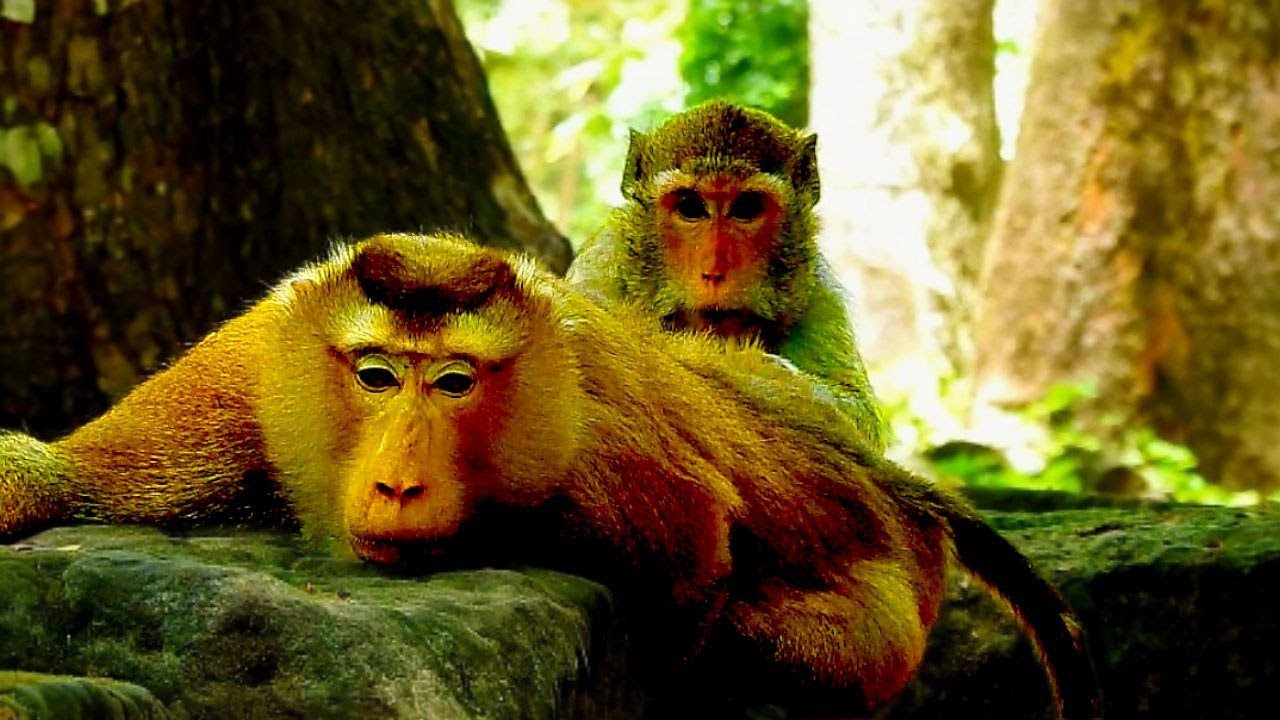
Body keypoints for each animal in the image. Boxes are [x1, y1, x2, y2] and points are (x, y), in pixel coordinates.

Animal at [0, 233, 1100, 718]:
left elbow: (698, 565)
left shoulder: (596, 459)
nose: (398, 484)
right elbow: (73, 476)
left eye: (454, 382)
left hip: (882, 613)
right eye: (374, 374)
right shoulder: (251, 374)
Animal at [568, 100, 886, 453]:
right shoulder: (603, 256)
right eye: (690, 207)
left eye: (746, 207)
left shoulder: (818, 288)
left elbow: (859, 415)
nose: (715, 272)